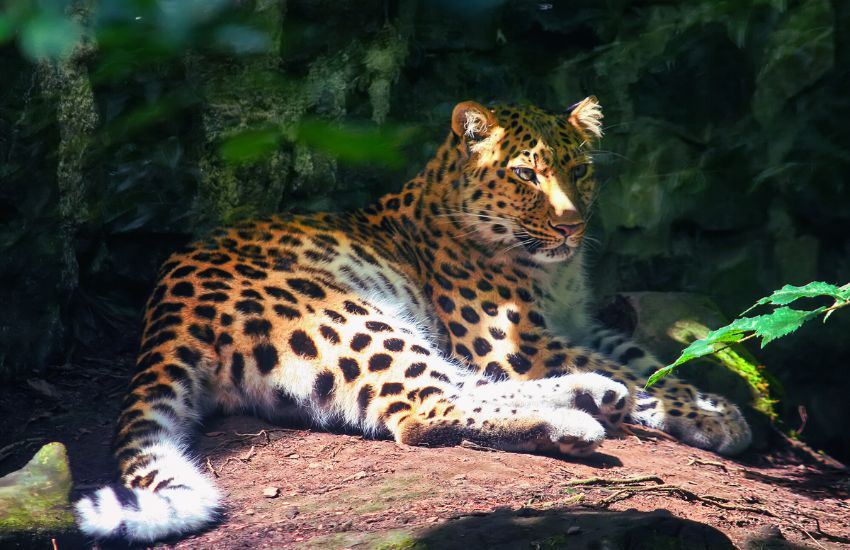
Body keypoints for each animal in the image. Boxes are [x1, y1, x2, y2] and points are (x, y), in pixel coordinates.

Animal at [73, 98, 748, 544]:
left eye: (578, 170)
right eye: (526, 174)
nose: (570, 226)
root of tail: (164, 312)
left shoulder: (575, 325)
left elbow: (647, 360)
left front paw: (719, 405)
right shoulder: (515, 340)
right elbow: (640, 372)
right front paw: (715, 417)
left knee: (458, 387)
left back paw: (591, 396)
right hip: (346, 315)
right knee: (423, 409)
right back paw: (573, 419)